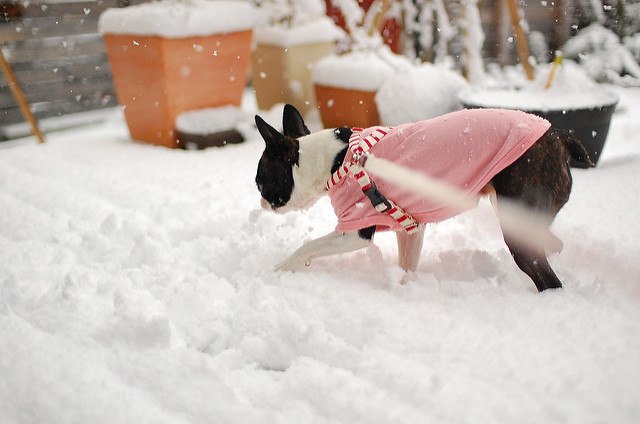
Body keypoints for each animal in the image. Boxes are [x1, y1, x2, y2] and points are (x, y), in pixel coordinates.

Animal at [252, 104, 592, 294]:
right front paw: (405, 290)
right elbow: (407, 265)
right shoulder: (409, 227)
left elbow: (308, 246)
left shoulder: (356, 228)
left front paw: (281, 268)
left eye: (261, 183)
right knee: (552, 242)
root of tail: (558, 136)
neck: (335, 162)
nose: (262, 203)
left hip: (517, 222)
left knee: (548, 278)